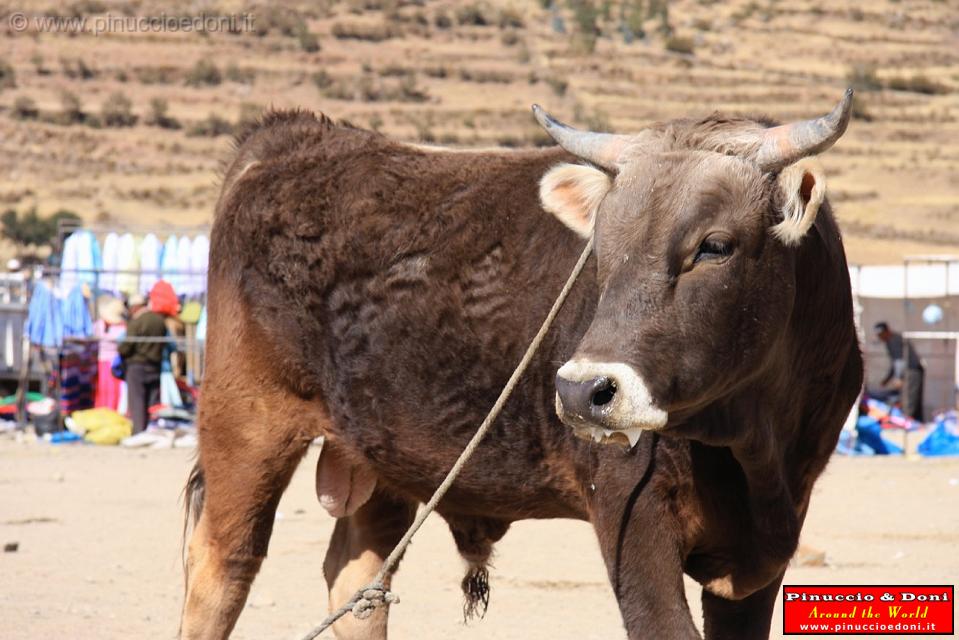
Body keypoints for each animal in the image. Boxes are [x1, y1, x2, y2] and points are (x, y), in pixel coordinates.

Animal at [178, 91, 864, 640]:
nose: (584, 391)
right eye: (601, 247)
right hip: (246, 429)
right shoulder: (633, 521)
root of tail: (290, 140)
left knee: (357, 581)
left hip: (379, 455)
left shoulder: (764, 552)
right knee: (220, 572)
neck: (751, 444)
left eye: (715, 246)